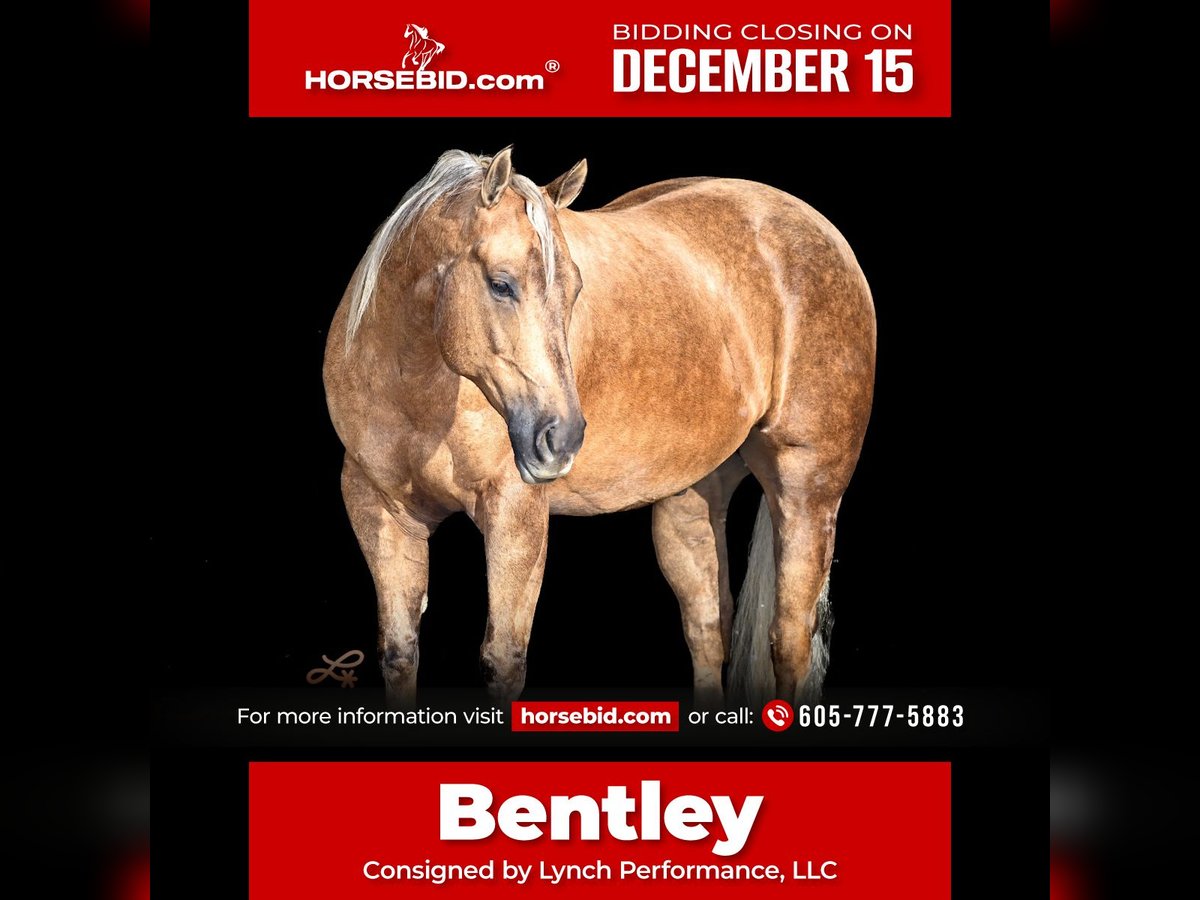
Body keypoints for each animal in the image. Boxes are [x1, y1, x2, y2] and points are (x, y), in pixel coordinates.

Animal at [323, 148, 875, 709]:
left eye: (574, 290)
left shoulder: (515, 513)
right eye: (501, 284)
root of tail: (817, 229)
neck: (417, 388)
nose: (561, 440)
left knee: (789, 641)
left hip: (807, 491)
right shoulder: (379, 509)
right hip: (690, 501)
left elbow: (503, 660)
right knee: (706, 630)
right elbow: (400, 654)